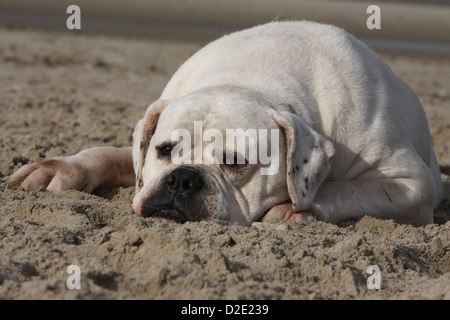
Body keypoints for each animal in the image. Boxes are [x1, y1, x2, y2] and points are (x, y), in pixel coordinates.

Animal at [9, 21, 442, 226]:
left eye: (235, 162)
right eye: (164, 151)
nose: (182, 179)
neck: (252, 76)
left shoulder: (411, 185)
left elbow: (345, 191)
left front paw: (294, 210)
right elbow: (109, 154)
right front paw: (56, 169)